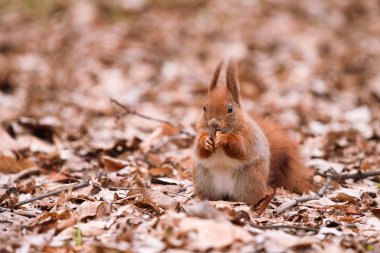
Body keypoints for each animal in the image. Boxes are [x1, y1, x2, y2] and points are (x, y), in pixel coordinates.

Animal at [193, 59, 314, 206]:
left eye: (230, 109)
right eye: (204, 108)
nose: (213, 124)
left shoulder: (248, 136)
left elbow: (240, 149)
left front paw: (224, 140)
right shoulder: (200, 132)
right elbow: (200, 151)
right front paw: (205, 142)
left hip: (248, 179)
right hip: (204, 179)